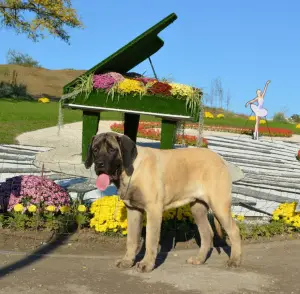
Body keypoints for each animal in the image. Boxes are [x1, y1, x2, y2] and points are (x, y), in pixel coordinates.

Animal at [84, 132, 241, 272]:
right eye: (95, 150)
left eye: (112, 150)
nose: (99, 165)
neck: (131, 171)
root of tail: (221, 159)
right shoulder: (133, 210)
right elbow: (131, 239)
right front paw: (127, 261)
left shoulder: (153, 210)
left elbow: (150, 240)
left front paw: (146, 264)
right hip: (198, 208)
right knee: (207, 233)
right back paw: (199, 259)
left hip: (219, 205)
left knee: (234, 231)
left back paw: (234, 260)